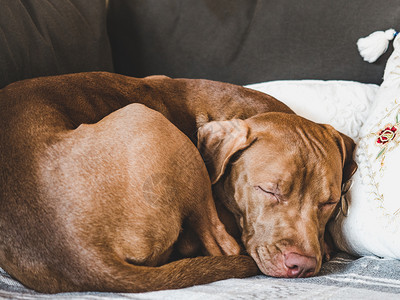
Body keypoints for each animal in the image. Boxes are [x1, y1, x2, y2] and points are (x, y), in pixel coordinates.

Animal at [0, 72, 356, 292]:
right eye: (268, 190)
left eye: (329, 203)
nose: (303, 265)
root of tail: (80, 255)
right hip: (156, 126)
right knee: (223, 246)